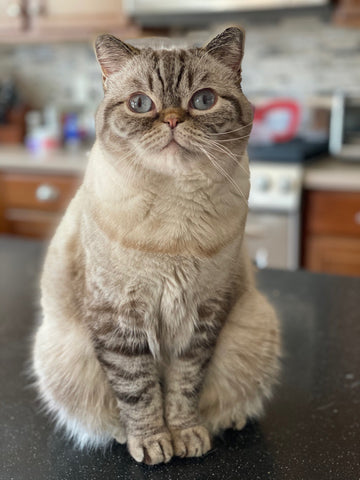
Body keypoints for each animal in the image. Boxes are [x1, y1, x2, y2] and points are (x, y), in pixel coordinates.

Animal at [32, 26, 282, 464]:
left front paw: (186, 437)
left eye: (203, 101)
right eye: (139, 104)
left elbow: (183, 388)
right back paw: (122, 436)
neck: (173, 209)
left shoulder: (203, 317)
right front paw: (152, 443)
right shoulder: (118, 319)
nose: (171, 119)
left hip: (254, 323)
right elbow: (139, 392)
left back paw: (227, 421)